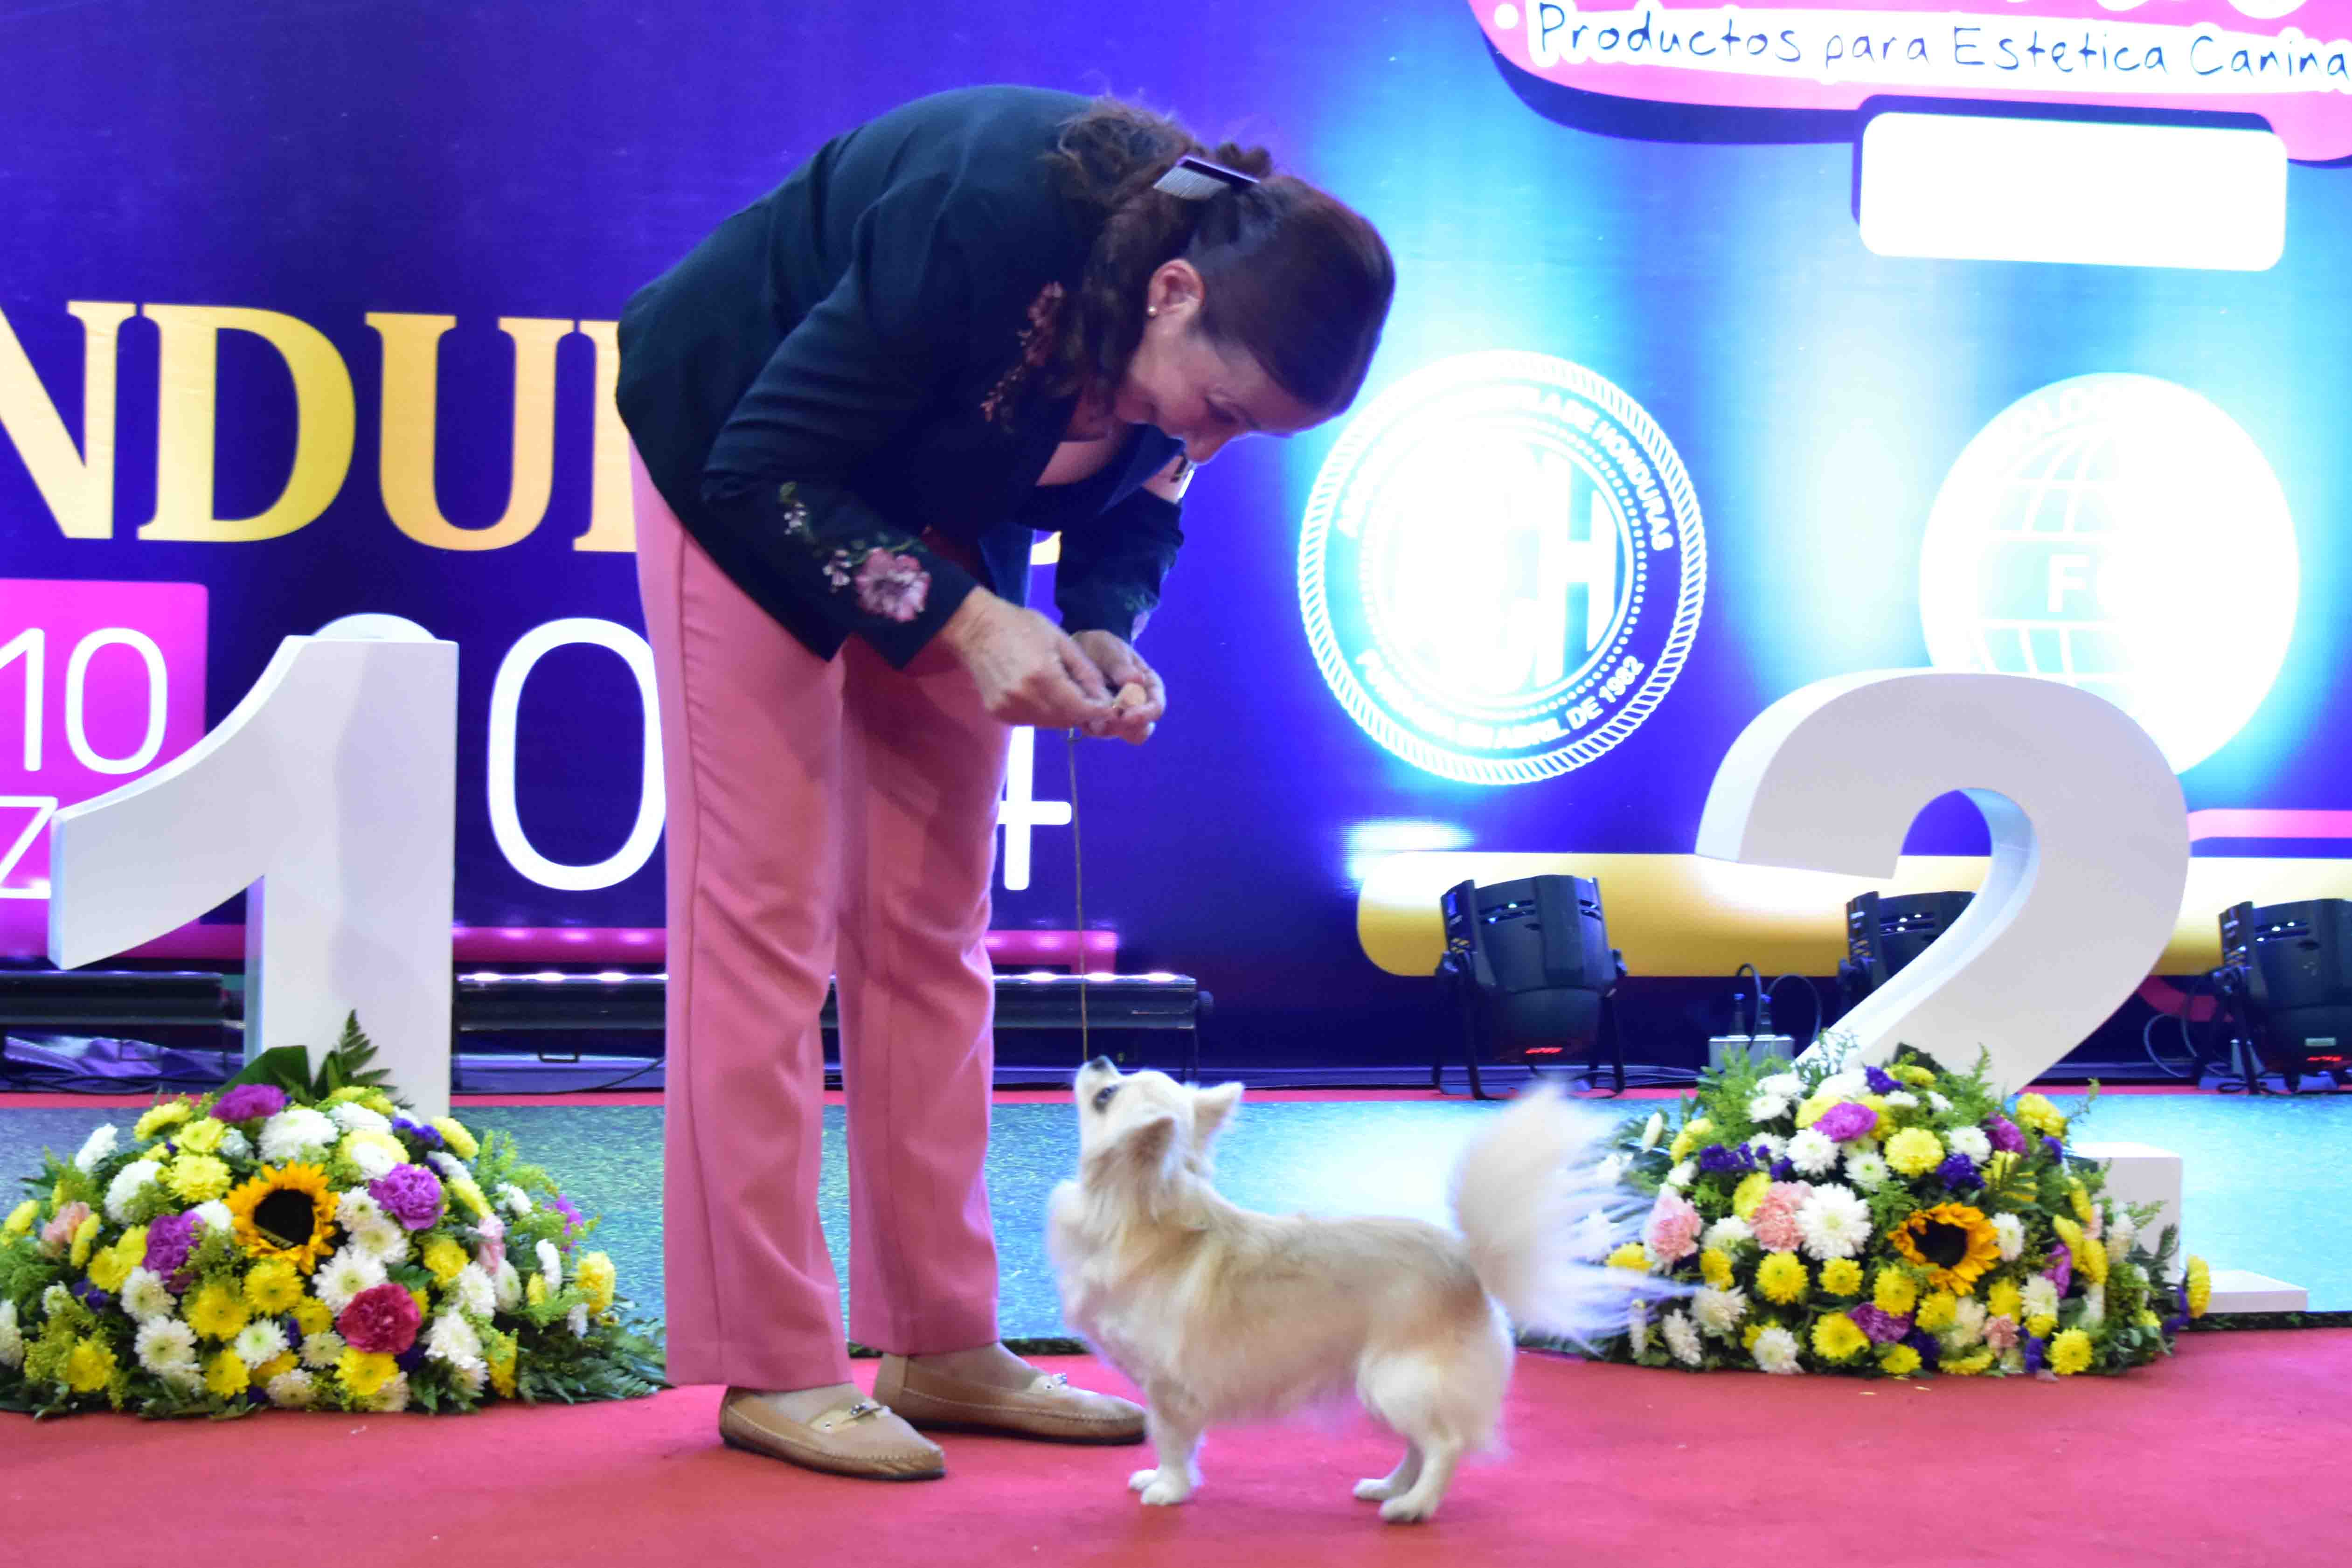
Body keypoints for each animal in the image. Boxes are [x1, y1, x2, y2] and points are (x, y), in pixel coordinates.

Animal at [1047, 1058, 1662, 1523]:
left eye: (1105, 1094)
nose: (1098, 1057)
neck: (1138, 1215)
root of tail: (1469, 1261)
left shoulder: (1171, 1389)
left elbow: (1171, 1440)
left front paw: (1168, 1488)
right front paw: (1160, 1477)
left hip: (1395, 1380)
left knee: (1445, 1444)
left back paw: (1413, 1507)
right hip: (1387, 1387)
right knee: (1420, 1444)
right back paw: (1389, 1487)